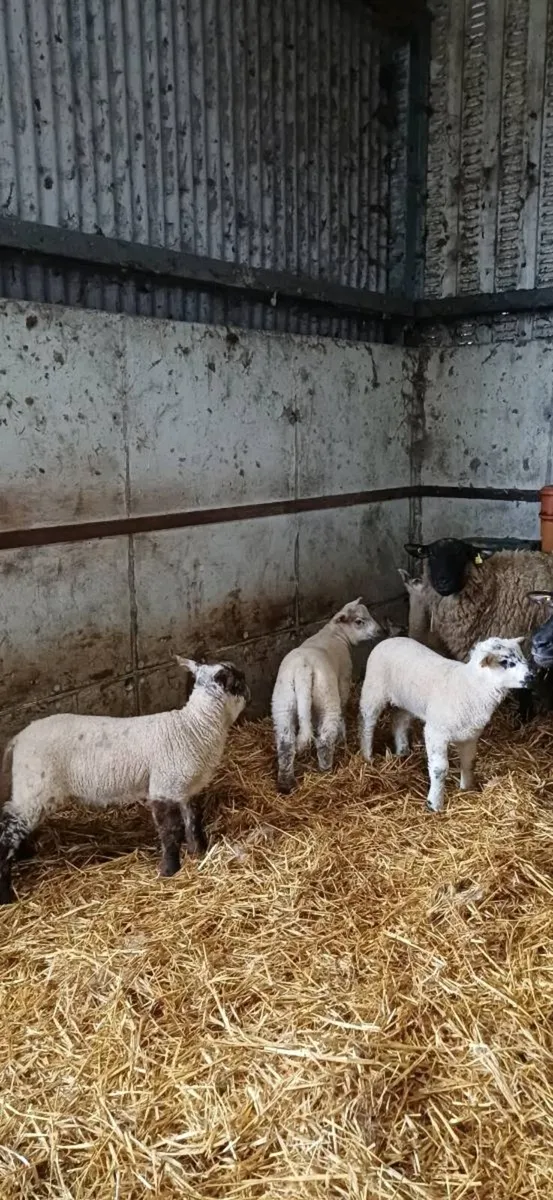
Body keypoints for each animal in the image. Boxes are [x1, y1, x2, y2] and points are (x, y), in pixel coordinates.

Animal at [0, 657, 250, 904]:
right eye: (237, 683)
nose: (249, 691)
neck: (193, 728)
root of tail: (18, 739)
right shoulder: (163, 787)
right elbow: (170, 831)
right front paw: (170, 870)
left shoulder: (185, 788)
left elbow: (194, 820)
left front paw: (199, 851)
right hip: (36, 785)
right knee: (8, 829)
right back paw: (6, 894)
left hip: (32, 790)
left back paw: (25, 854)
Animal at [271, 598, 382, 793]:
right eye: (359, 621)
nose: (379, 631)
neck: (336, 633)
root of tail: (303, 669)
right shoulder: (344, 678)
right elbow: (343, 706)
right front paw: (342, 735)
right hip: (327, 698)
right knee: (324, 738)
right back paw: (326, 770)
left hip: (282, 702)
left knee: (285, 743)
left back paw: (286, 783)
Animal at [359, 635, 532, 812]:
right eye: (505, 662)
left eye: (522, 657)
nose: (531, 677)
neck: (471, 688)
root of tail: (391, 639)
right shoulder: (436, 732)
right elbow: (439, 769)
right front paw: (434, 803)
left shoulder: (470, 735)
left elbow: (469, 762)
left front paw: (467, 788)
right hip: (374, 690)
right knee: (368, 723)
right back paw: (367, 755)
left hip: (407, 701)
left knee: (400, 721)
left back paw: (402, 752)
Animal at [405, 537, 553, 722]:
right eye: (431, 554)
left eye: (461, 554)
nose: (443, 582)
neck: (494, 588)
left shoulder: (524, 645)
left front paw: (523, 717)